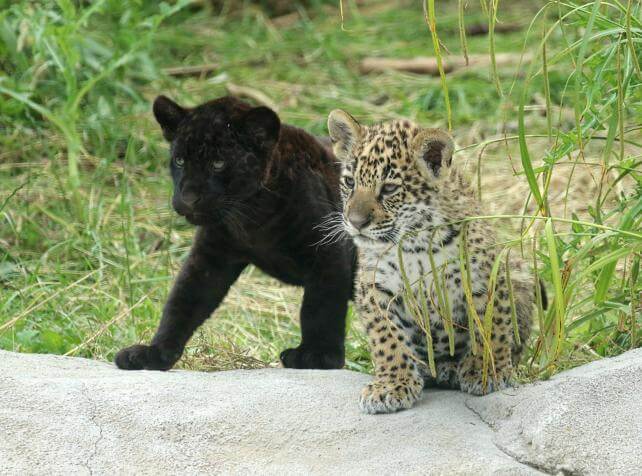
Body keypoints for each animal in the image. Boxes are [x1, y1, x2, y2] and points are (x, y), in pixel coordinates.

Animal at [114, 95, 355, 372]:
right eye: (180, 161)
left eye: (218, 164)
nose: (188, 198)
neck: (253, 217)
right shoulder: (210, 257)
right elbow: (182, 303)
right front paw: (154, 353)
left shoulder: (328, 252)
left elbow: (320, 307)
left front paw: (319, 356)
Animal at [327, 109, 541, 414]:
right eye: (349, 183)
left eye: (389, 188)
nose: (355, 223)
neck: (414, 242)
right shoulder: (375, 289)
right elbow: (387, 339)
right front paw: (391, 384)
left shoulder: (485, 278)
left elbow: (491, 327)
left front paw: (488, 371)